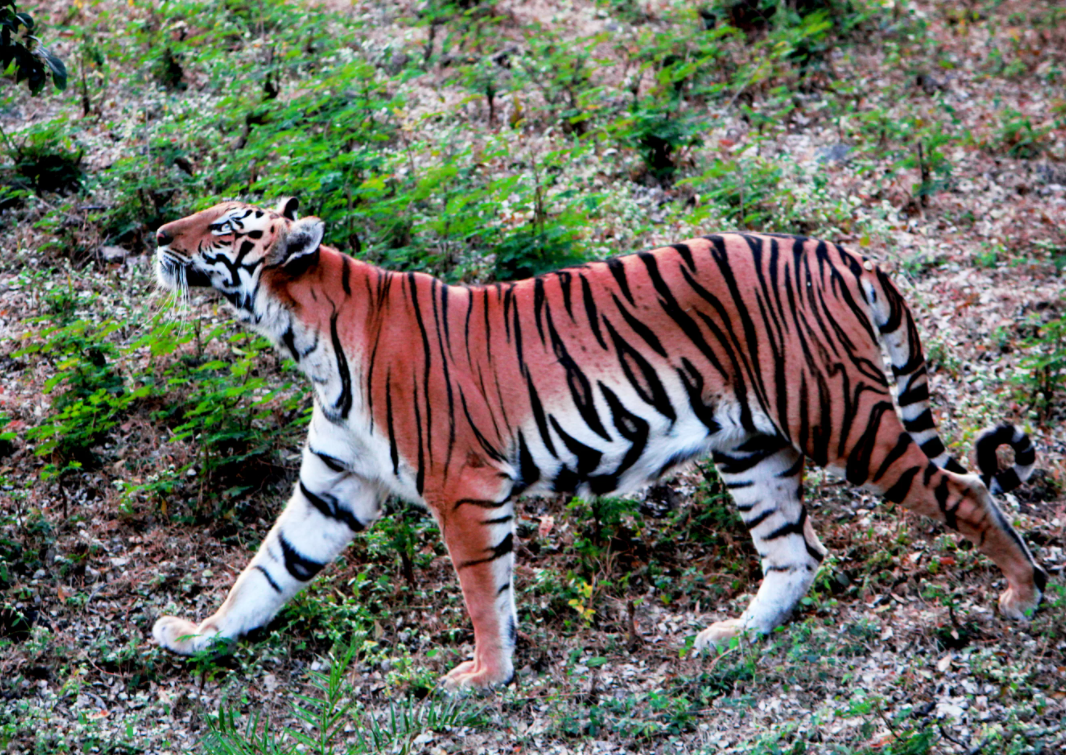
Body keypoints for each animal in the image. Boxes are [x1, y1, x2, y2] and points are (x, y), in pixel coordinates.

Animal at [154, 196, 1044, 691]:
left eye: (224, 226)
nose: (159, 231)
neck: (303, 336)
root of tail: (836, 246)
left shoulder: (465, 488)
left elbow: (482, 592)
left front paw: (484, 676)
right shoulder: (333, 483)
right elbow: (266, 571)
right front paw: (199, 635)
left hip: (838, 414)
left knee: (965, 490)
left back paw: (1024, 593)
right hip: (753, 447)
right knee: (797, 552)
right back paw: (732, 637)